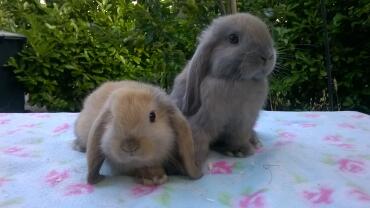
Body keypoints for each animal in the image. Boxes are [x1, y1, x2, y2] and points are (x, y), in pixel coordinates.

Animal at [170, 12, 274, 166]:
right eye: (233, 39)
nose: (267, 56)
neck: (236, 80)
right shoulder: (199, 124)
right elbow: (197, 141)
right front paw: (194, 162)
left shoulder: (243, 122)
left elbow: (238, 137)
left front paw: (239, 151)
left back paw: (254, 140)